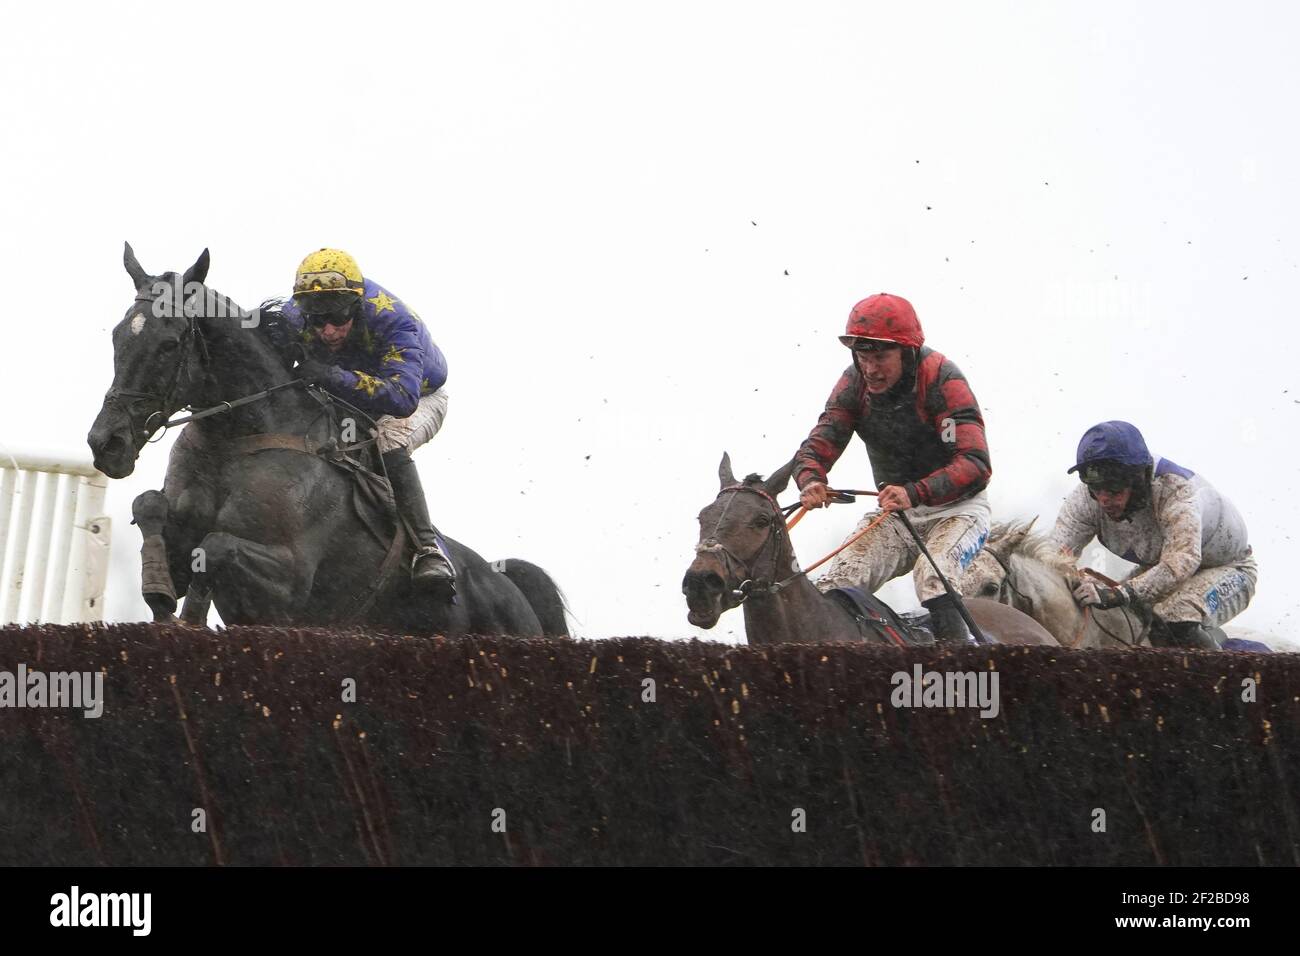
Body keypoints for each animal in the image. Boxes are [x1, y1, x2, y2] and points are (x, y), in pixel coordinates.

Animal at [86, 243, 564, 639]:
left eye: (169, 343)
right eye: (116, 335)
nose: (105, 443)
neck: (236, 438)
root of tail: (508, 586)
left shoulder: (292, 577)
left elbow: (215, 546)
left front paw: (190, 616)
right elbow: (149, 506)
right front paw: (160, 593)